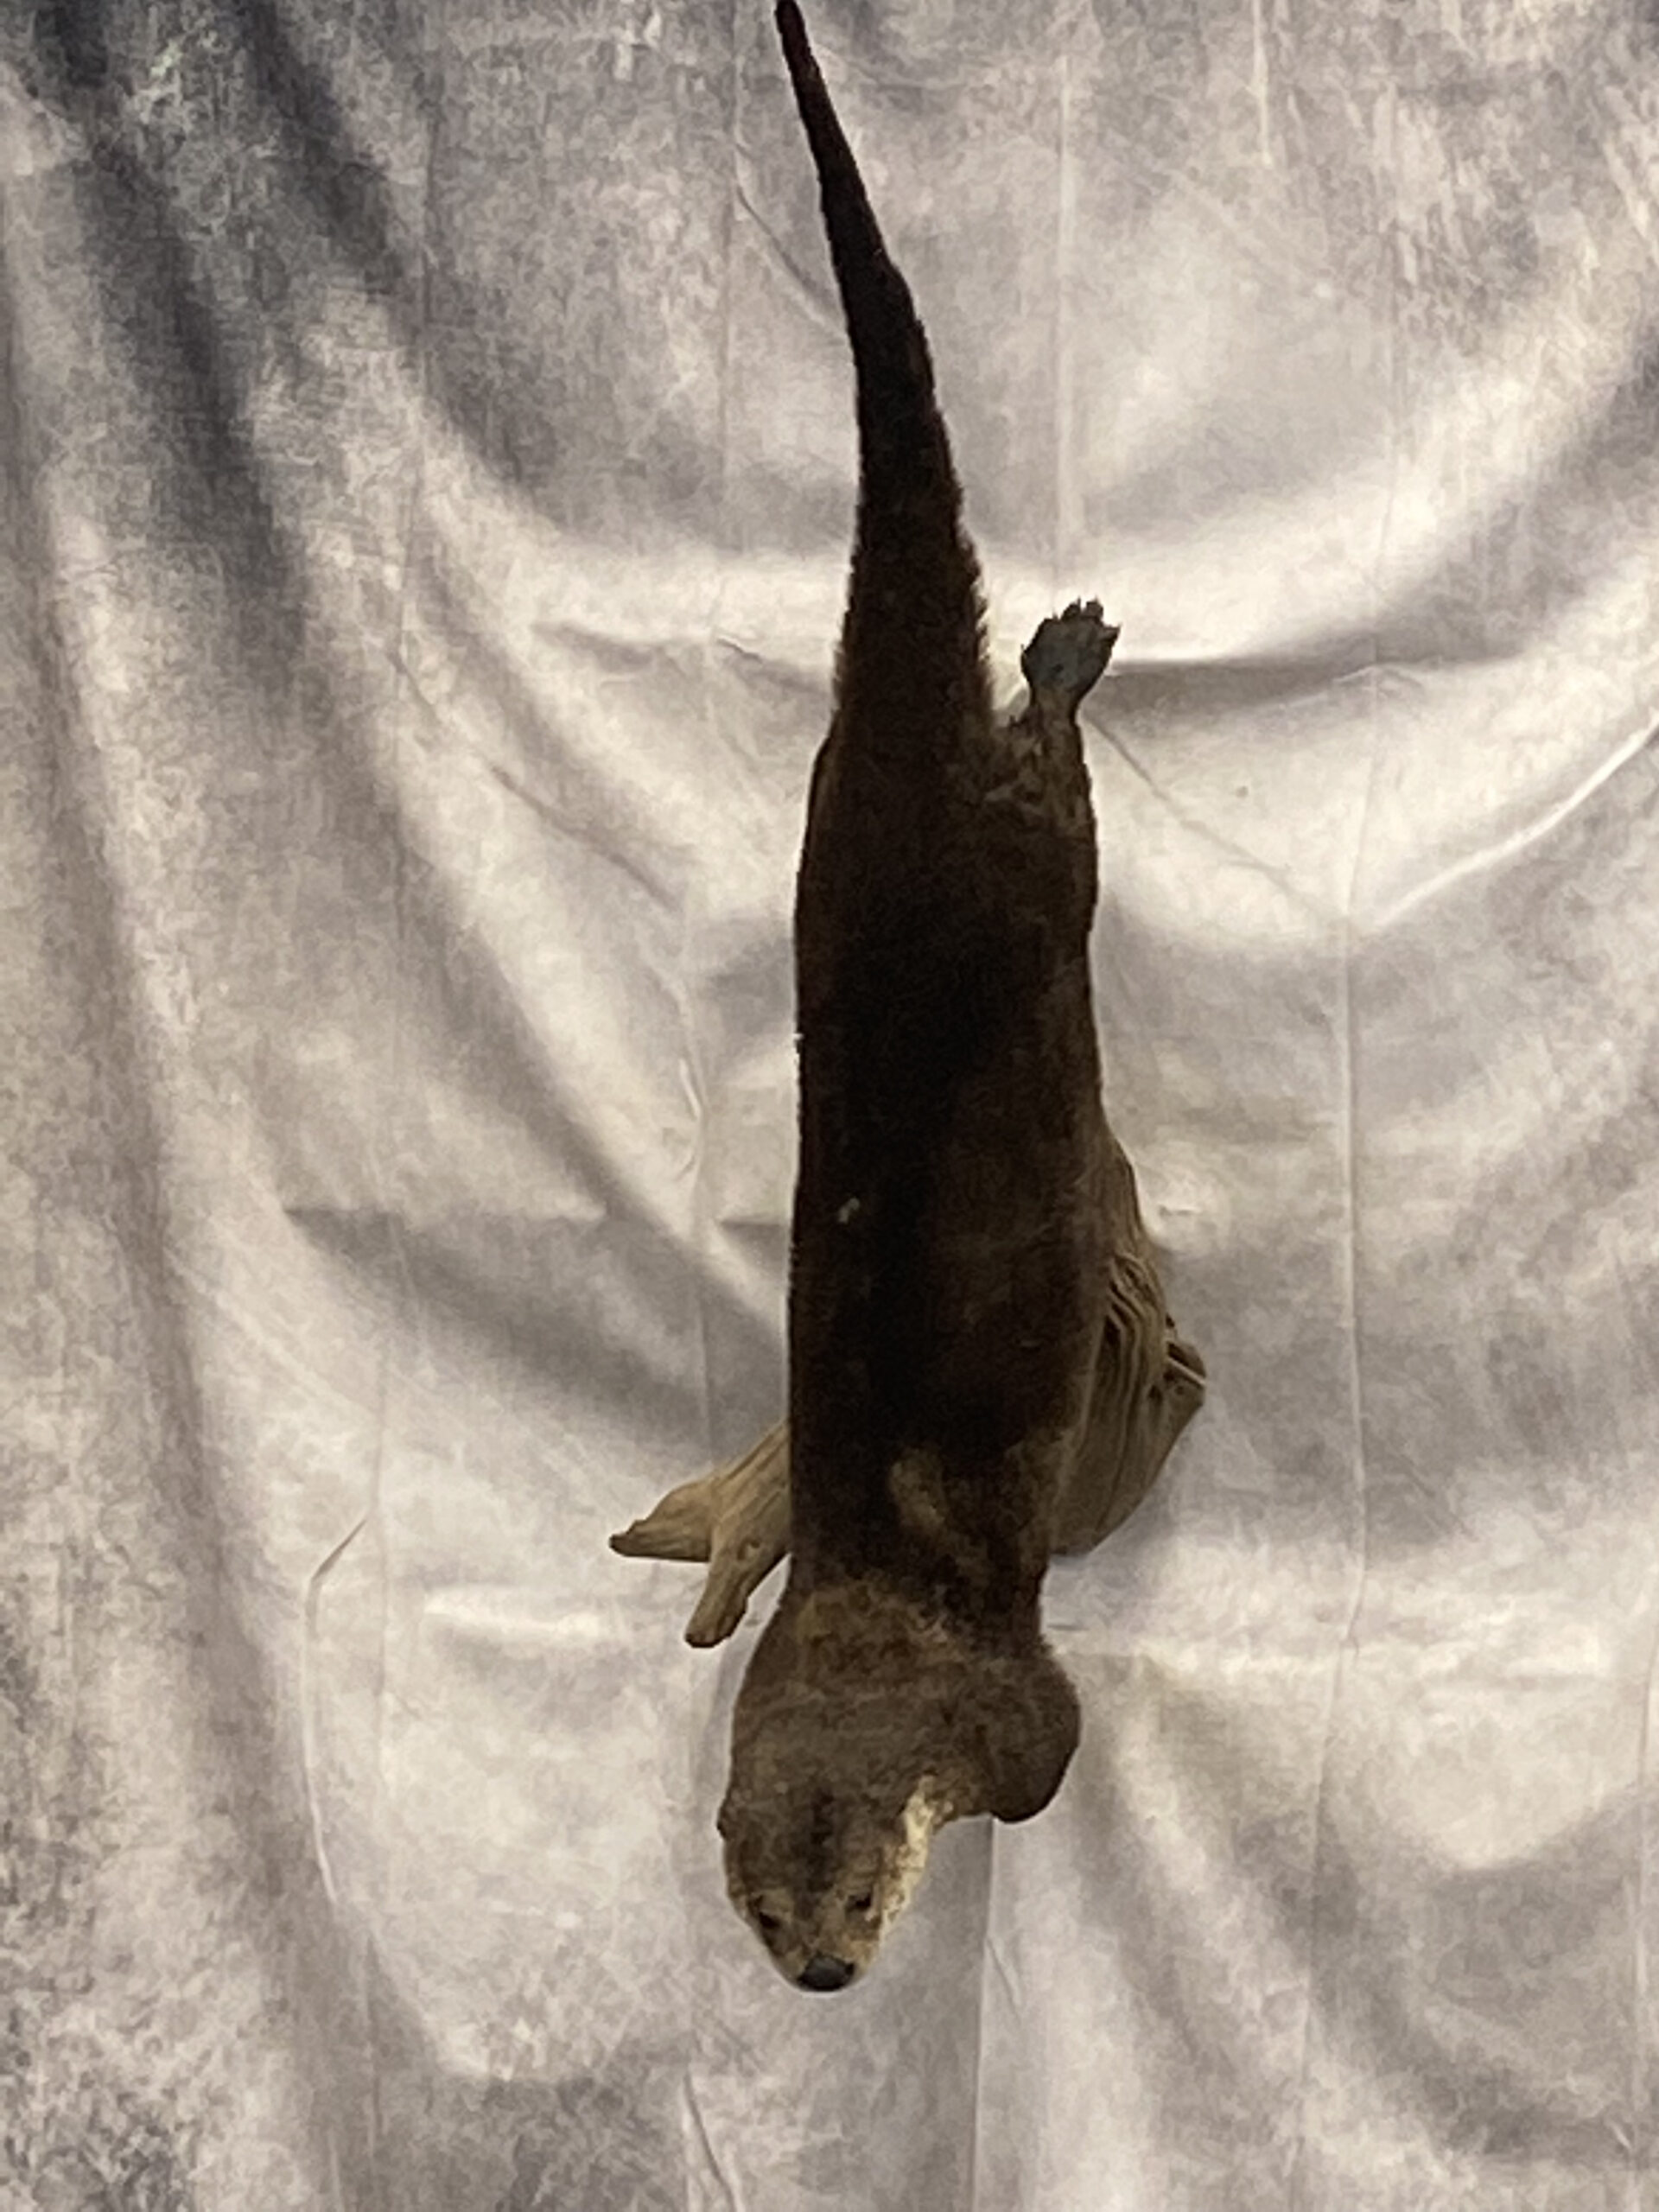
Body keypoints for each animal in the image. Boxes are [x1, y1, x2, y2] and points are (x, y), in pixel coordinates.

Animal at [613, 0, 1205, 1991]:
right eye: (760, 1901)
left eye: (864, 1889)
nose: (822, 1974)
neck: (867, 1618)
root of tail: (891, 763)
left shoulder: (1018, 1718)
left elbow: (1054, 1750)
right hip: (840, 817)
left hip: (1028, 869)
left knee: (1061, 788)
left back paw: (1065, 651)